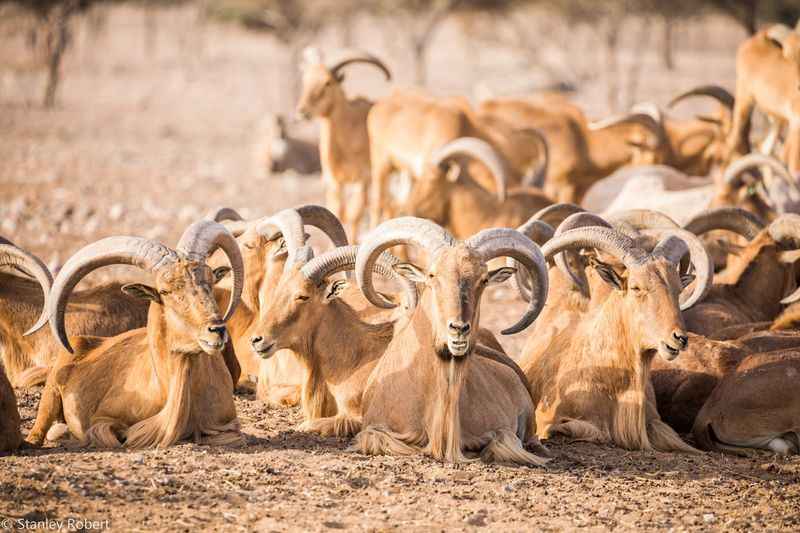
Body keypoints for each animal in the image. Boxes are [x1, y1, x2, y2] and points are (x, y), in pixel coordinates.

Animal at [27, 220, 244, 448]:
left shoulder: (228, 424)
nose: (217, 330)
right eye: (165, 291)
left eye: (211, 281)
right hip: (51, 390)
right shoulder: (102, 420)